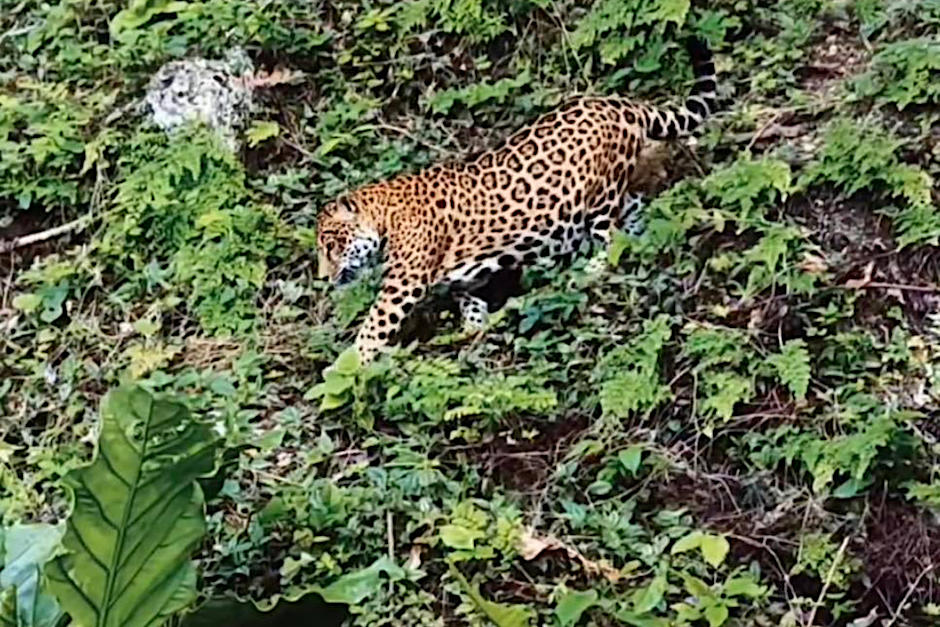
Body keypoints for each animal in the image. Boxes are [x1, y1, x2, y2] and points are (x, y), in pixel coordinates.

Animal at [316, 38, 718, 363]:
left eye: (331, 245)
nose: (324, 278)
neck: (384, 216)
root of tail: (615, 103)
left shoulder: (403, 283)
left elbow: (374, 324)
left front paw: (350, 363)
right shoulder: (465, 281)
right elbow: (471, 305)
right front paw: (473, 333)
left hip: (600, 197)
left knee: (611, 239)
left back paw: (590, 270)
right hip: (618, 191)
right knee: (634, 218)